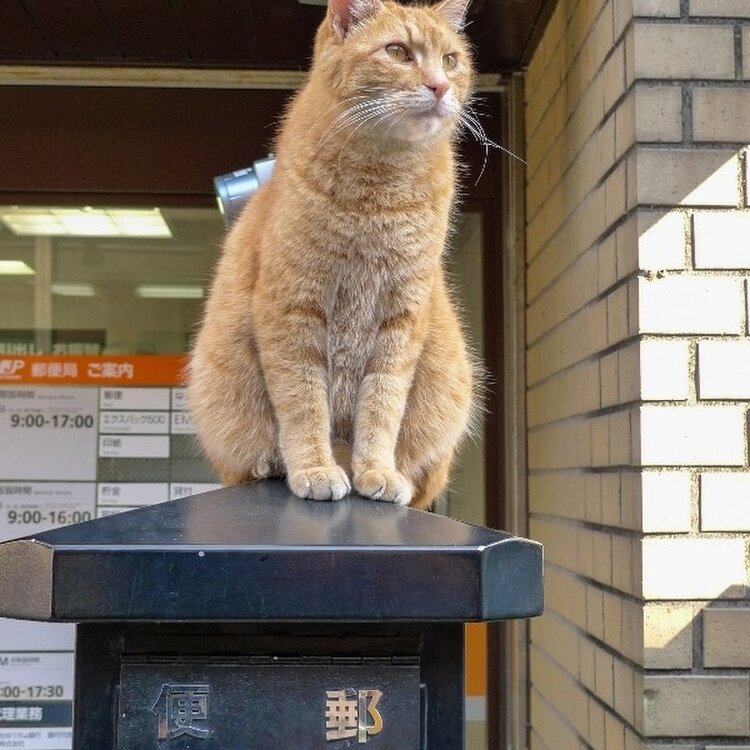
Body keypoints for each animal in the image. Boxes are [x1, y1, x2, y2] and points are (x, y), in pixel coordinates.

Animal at [191, 0, 478, 512]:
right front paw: (315, 469)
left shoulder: (401, 320)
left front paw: (377, 471)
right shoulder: (292, 311)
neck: (378, 191)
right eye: (398, 52)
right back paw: (274, 465)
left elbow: (382, 407)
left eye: (450, 60)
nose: (440, 86)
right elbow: (303, 405)